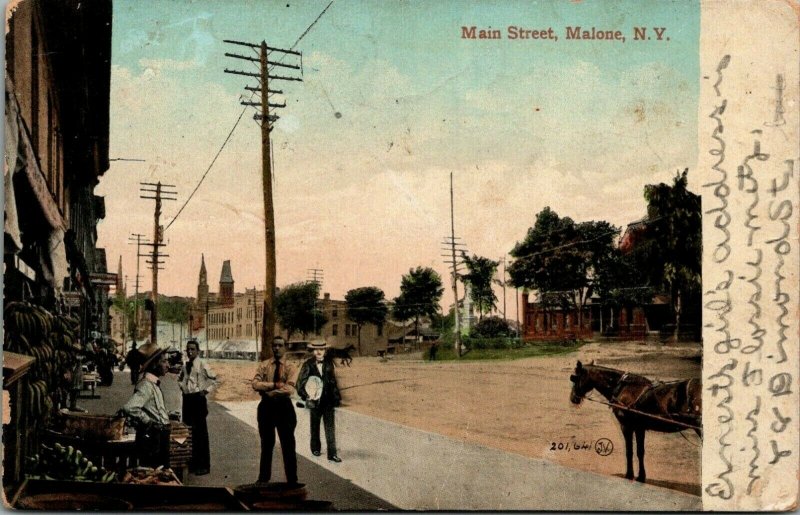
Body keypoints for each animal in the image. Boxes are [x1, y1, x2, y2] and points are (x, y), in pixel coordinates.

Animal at [568, 362, 700, 484]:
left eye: (575, 378)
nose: (573, 398)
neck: (623, 387)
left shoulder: (626, 426)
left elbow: (629, 451)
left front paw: (629, 475)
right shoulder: (639, 427)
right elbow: (640, 452)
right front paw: (641, 477)